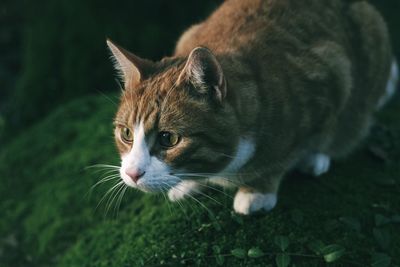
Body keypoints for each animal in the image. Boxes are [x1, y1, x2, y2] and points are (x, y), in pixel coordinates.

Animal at [106, 0, 396, 215]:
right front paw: (189, 183)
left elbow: (285, 156)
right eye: (126, 134)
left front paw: (257, 190)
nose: (132, 174)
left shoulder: (332, 74)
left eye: (169, 139)